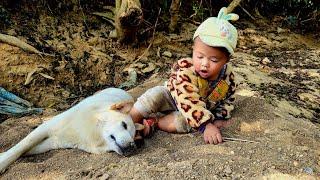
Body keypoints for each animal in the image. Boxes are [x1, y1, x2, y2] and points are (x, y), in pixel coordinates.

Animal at [0, 88, 138, 174]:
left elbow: (26, 151)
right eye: (124, 125)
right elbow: (21, 147)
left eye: (134, 136)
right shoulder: (46, 128)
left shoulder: (54, 142)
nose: (133, 147)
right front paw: (2, 161)